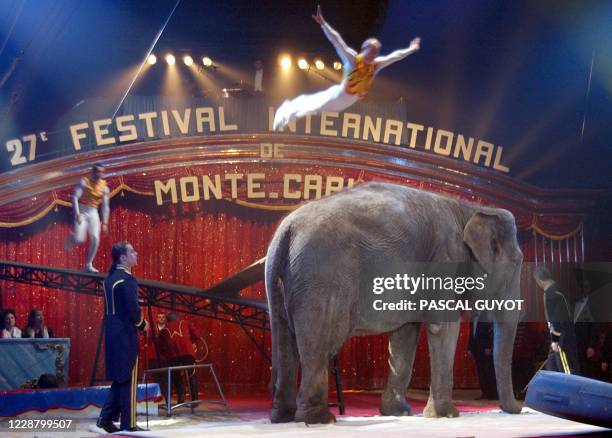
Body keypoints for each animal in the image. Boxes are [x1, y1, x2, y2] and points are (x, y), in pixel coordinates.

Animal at [266, 181, 524, 424]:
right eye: (517, 262)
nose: (519, 409)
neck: (470, 208)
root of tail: (285, 230)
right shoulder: (446, 258)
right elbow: (443, 326)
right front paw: (447, 415)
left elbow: (405, 334)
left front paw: (400, 412)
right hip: (322, 279)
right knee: (320, 344)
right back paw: (319, 419)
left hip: (285, 283)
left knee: (285, 342)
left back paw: (282, 417)